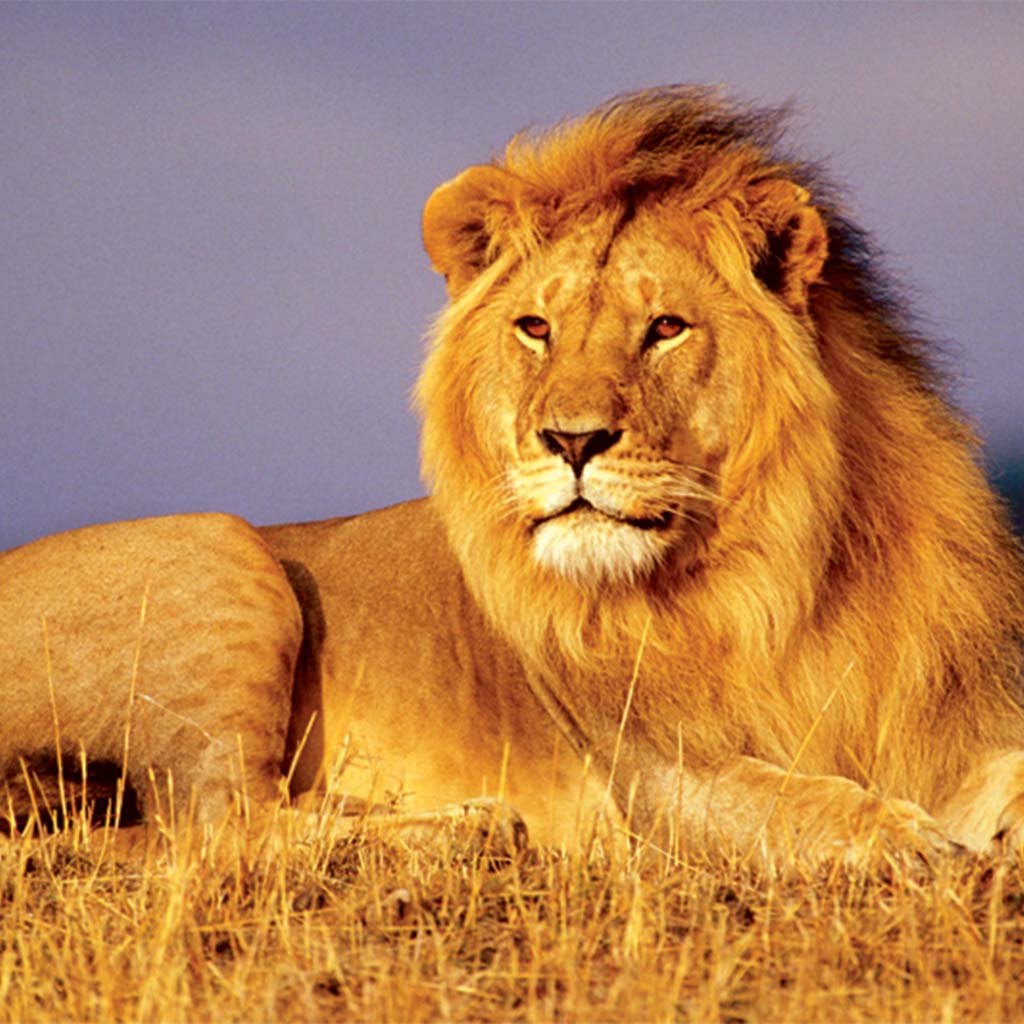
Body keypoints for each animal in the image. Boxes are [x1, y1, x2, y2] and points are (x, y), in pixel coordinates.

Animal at [2, 86, 1023, 869]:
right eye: (536, 327)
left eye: (665, 328)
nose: (571, 440)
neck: (782, 571)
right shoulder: (655, 774)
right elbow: (801, 805)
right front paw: (910, 842)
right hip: (218, 549)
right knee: (216, 826)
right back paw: (468, 829)